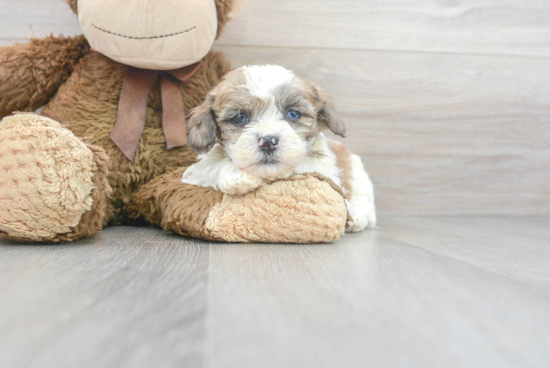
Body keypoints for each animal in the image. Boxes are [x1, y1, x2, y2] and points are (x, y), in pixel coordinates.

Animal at [183, 64, 378, 231]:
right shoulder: (195, 172)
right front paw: (237, 175)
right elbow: (212, 166)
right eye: (240, 117)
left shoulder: (324, 170)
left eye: (293, 114)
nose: (268, 141)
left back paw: (358, 217)